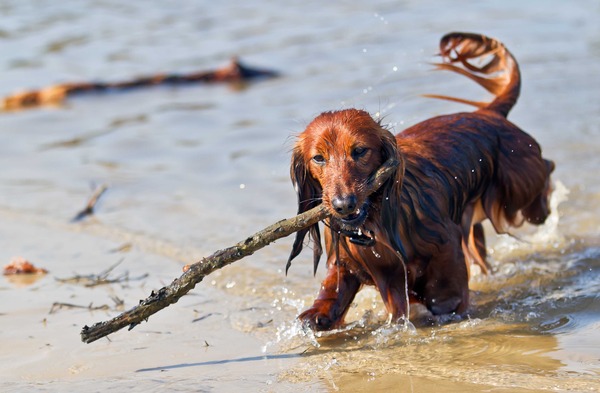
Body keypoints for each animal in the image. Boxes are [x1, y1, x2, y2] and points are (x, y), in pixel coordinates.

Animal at [288, 32, 556, 330]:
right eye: (318, 158)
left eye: (359, 151)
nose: (343, 204)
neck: (374, 222)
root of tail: (489, 113)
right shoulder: (349, 263)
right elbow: (332, 293)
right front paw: (316, 315)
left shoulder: (446, 246)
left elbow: (446, 295)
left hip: (522, 187)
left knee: (546, 173)